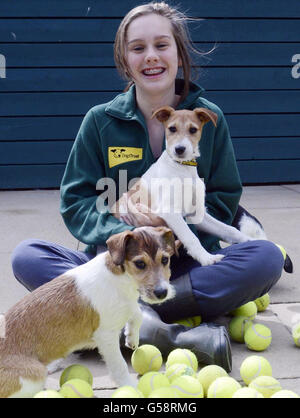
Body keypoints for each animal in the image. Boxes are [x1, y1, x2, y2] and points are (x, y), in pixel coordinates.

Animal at [0, 227, 178, 396]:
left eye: (165, 259)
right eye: (140, 263)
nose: (162, 293)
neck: (120, 277)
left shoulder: (127, 305)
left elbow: (137, 313)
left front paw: (132, 338)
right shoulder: (106, 336)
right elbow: (119, 366)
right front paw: (132, 387)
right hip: (35, 374)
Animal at [112, 106, 251, 266]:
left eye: (193, 130)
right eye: (172, 128)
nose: (179, 149)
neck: (182, 167)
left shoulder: (196, 213)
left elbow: (229, 229)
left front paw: (251, 239)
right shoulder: (170, 211)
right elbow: (191, 237)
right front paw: (206, 258)